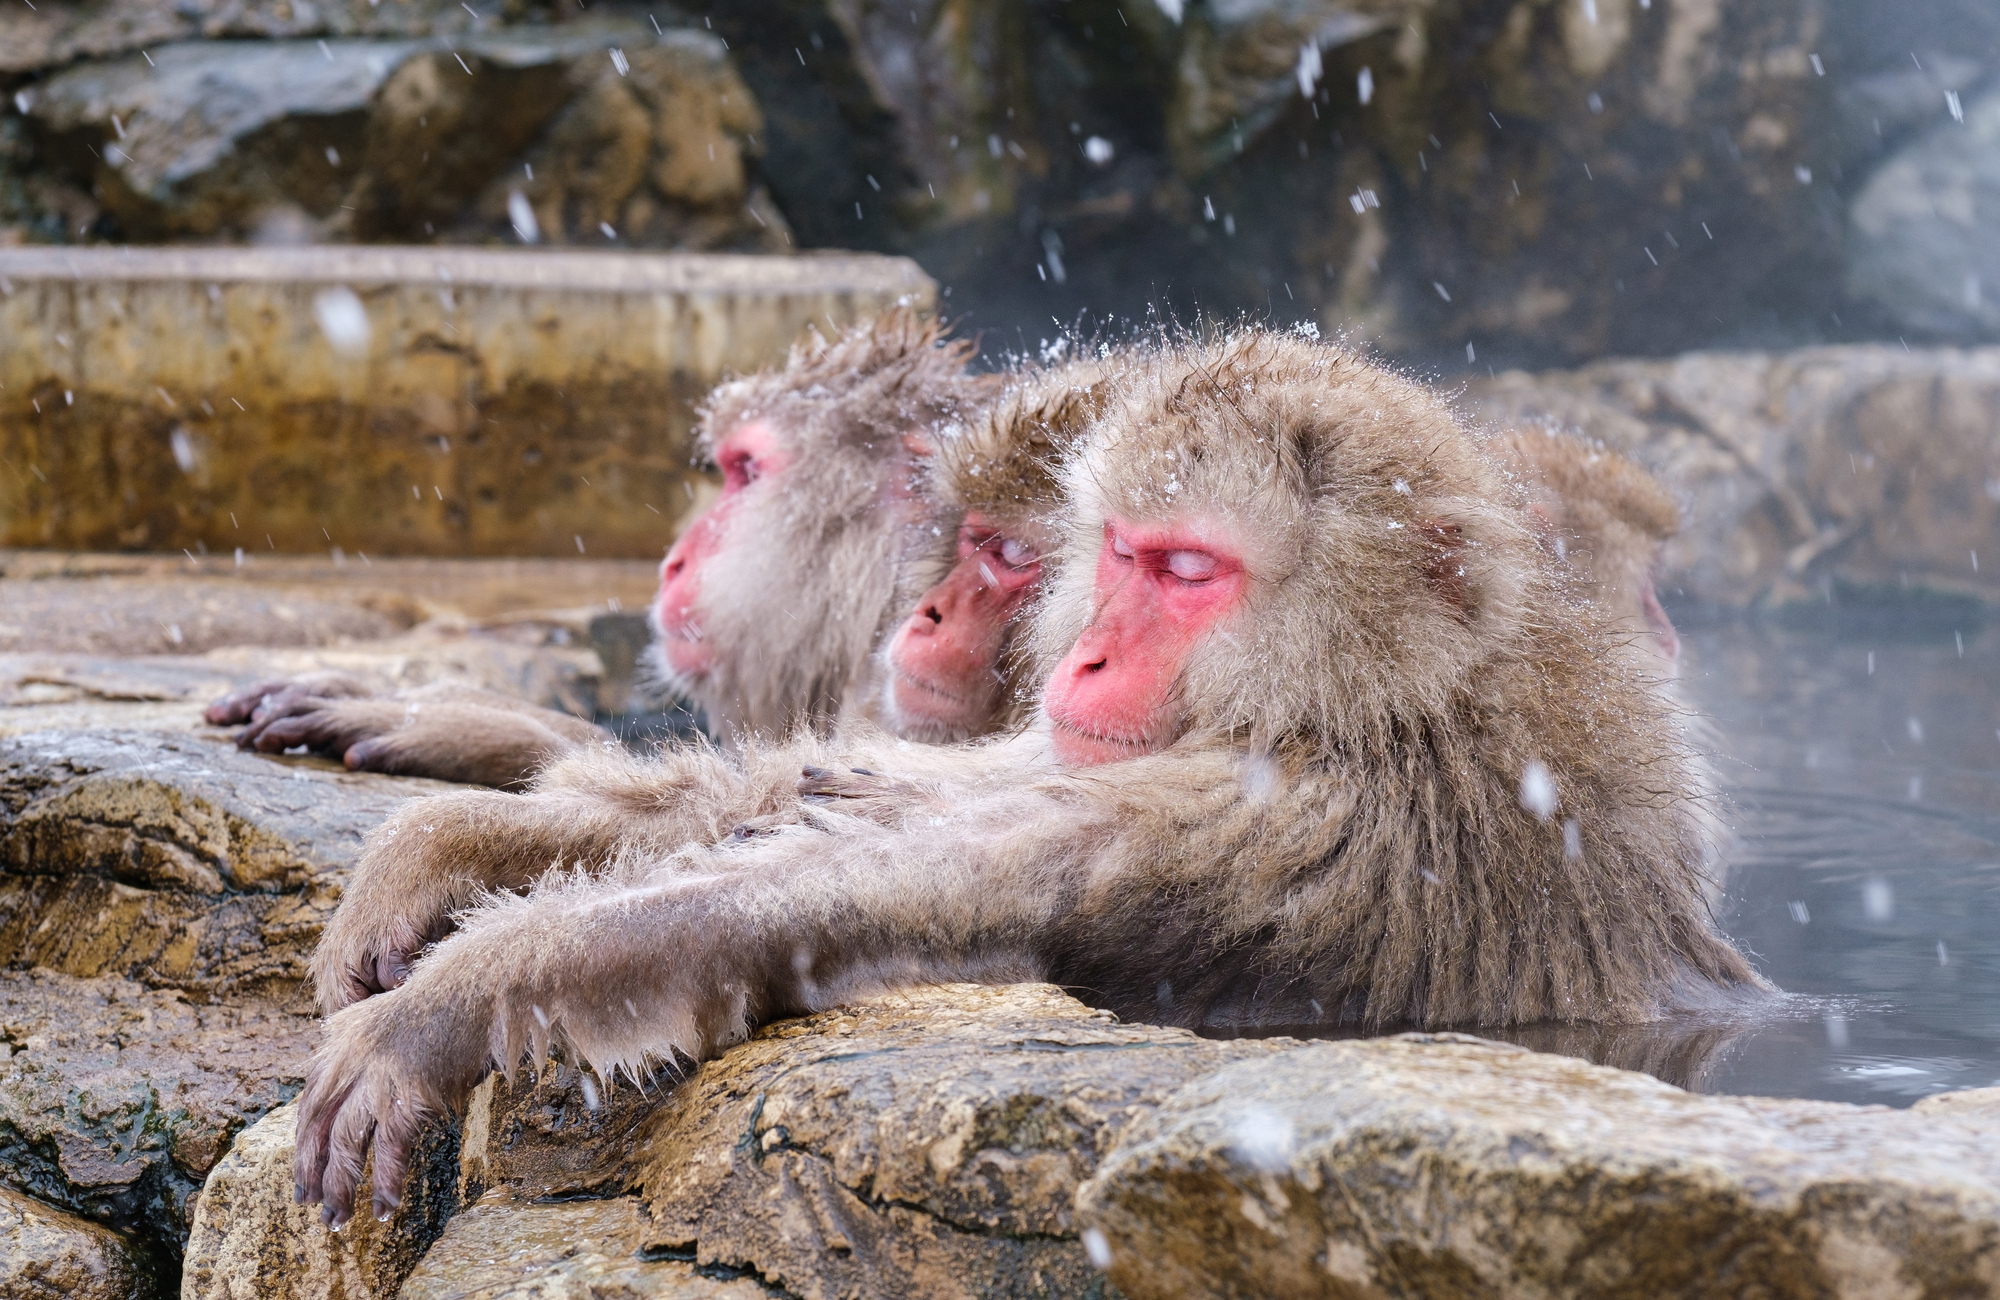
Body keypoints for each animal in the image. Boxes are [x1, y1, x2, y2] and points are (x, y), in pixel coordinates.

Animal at [289, 329, 1765, 1226]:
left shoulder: (1286, 821)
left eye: (1188, 570)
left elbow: (857, 900)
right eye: (1116, 552)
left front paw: (448, 1004)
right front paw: (455, 815)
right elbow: (827, 787)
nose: (1091, 653)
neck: (1390, 705)